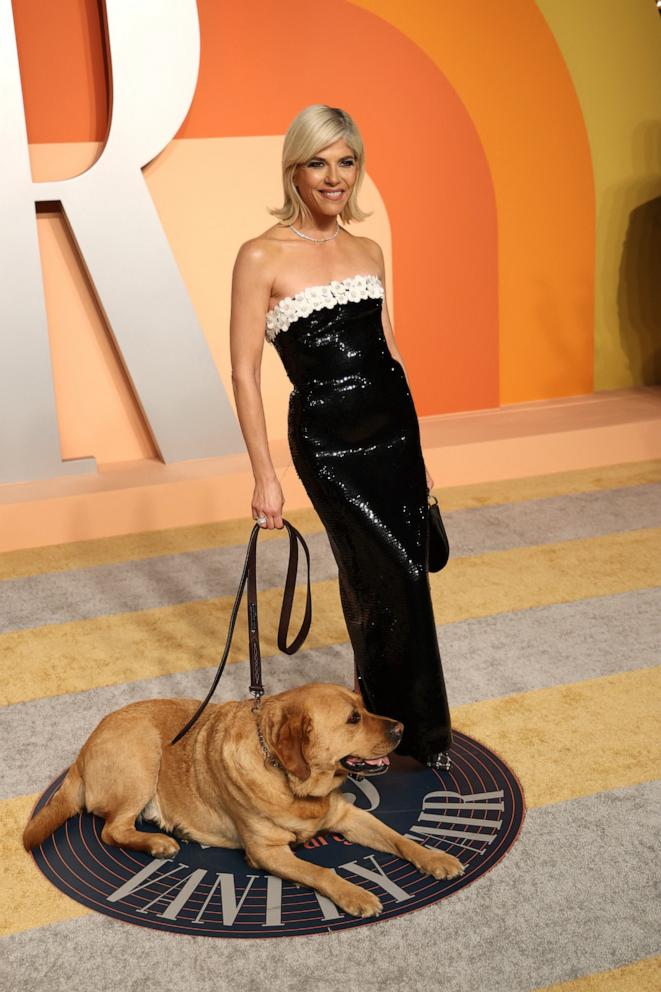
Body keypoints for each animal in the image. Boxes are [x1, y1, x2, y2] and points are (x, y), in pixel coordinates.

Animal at [23, 684, 462, 920]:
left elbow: (399, 839)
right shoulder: (267, 852)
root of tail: (81, 755)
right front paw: (355, 894)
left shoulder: (348, 814)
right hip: (143, 756)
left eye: (366, 706)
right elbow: (322, 872)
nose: (401, 727)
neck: (294, 784)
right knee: (112, 830)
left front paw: (435, 858)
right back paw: (157, 842)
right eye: (353, 718)